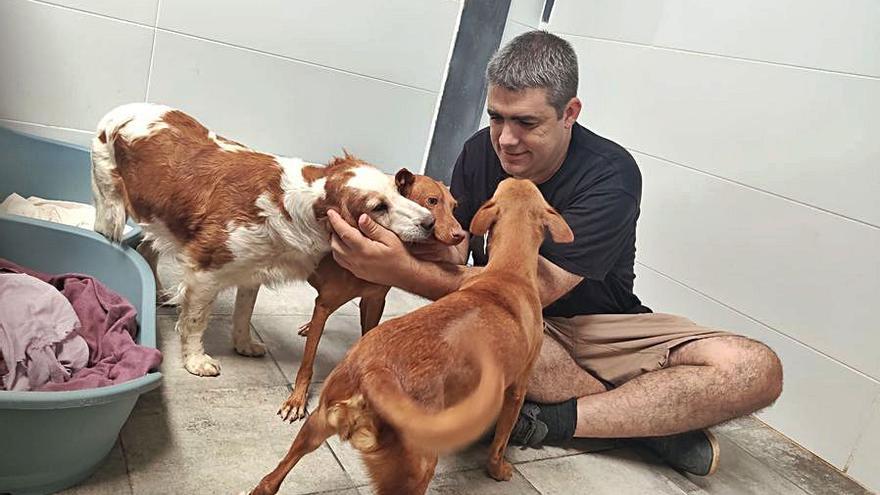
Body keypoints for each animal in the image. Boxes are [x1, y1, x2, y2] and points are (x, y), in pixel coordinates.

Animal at [90, 103, 434, 376]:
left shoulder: (252, 271)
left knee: (148, 249)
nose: (430, 222)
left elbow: (244, 314)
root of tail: (120, 110)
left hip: (161, 219)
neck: (298, 204)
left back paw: (160, 292)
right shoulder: (205, 271)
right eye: (379, 208)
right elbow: (195, 320)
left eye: (399, 191)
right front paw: (196, 360)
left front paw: (243, 344)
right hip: (111, 210)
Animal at [278, 170, 464, 422]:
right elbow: (307, 360)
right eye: (432, 201)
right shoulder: (325, 304)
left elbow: (368, 333)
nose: (461, 235)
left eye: (455, 207)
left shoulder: (374, 301)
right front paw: (297, 399)